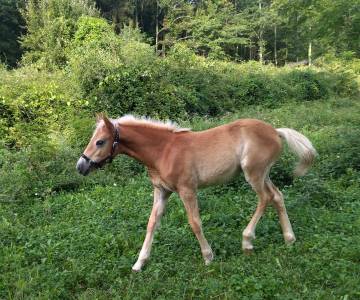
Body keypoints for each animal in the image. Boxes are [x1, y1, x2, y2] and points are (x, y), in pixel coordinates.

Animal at [76, 113, 318, 272]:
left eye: (100, 141)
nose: (81, 166)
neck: (164, 150)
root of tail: (275, 131)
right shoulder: (162, 191)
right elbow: (152, 223)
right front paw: (139, 263)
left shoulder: (187, 190)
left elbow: (195, 223)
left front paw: (208, 256)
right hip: (263, 173)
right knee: (277, 196)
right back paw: (289, 238)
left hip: (254, 173)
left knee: (265, 198)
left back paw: (247, 241)